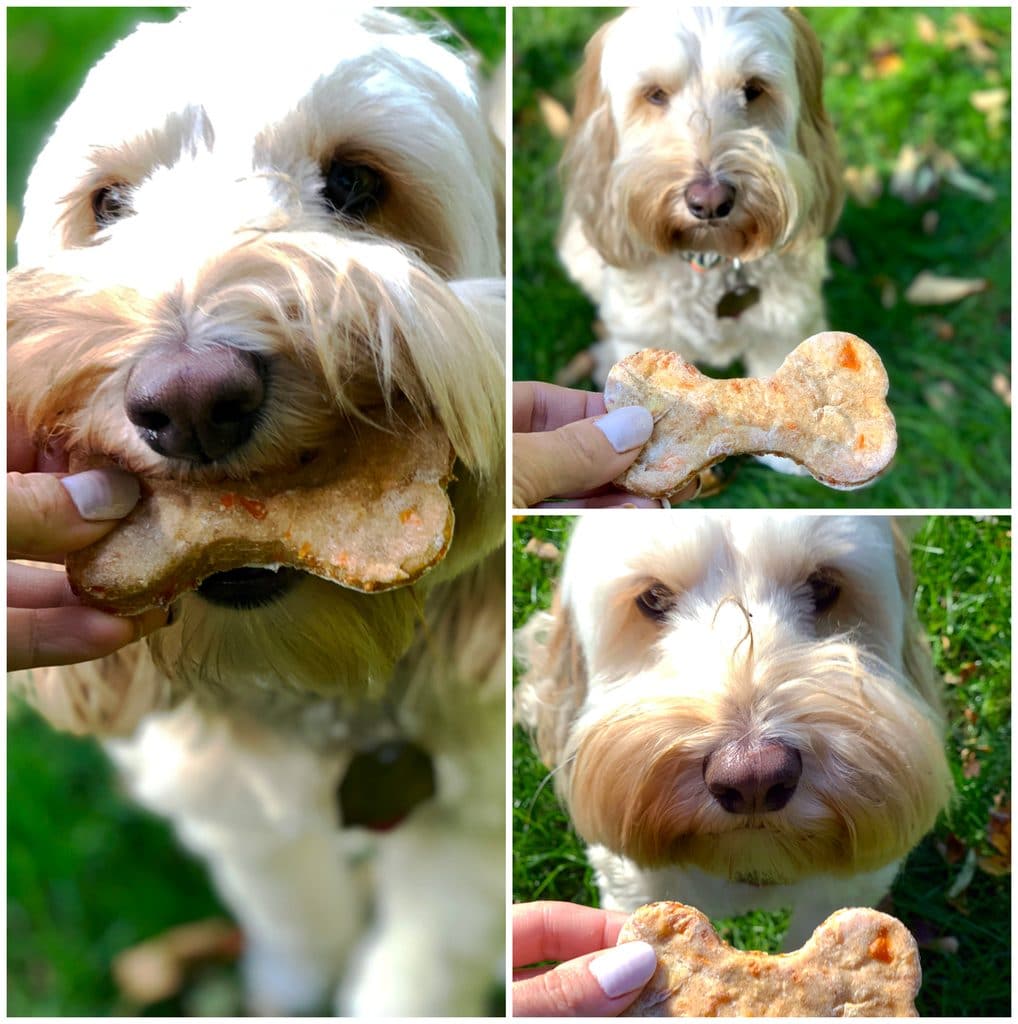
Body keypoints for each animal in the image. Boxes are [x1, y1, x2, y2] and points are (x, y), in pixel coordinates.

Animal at [5, 8, 501, 1015]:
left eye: (354, 185)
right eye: (108, 205)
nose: (191, 402)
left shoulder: (471, 822)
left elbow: (428, 950)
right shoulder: (228, 796)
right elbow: (286, 899)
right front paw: (290, 982)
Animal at [557, 6, 839, 397]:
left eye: (753, 89)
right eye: (655, 94)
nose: (709, 202)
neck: (708, 258)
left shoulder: (782, 332)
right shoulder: (642, 332)